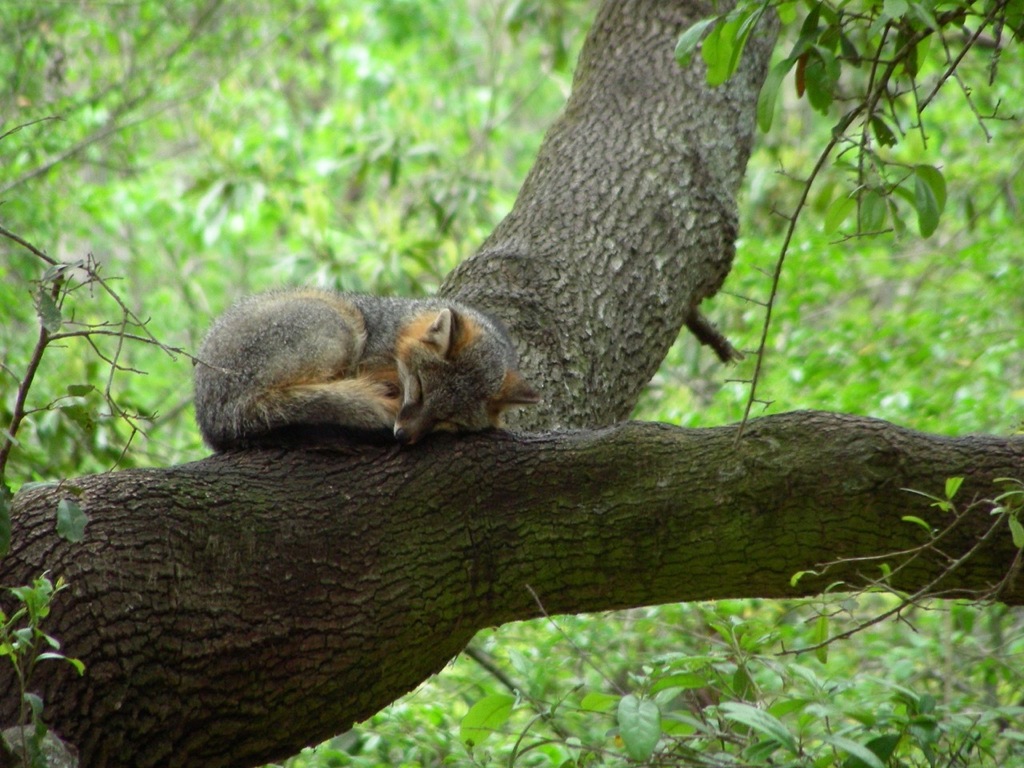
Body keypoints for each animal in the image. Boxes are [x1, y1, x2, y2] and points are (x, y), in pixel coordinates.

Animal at [193, 288, 539, 450]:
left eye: (448, 420)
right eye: (419, 388)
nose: (401, 436)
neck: (395, 332)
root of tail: (217, 417)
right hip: (341, 326)